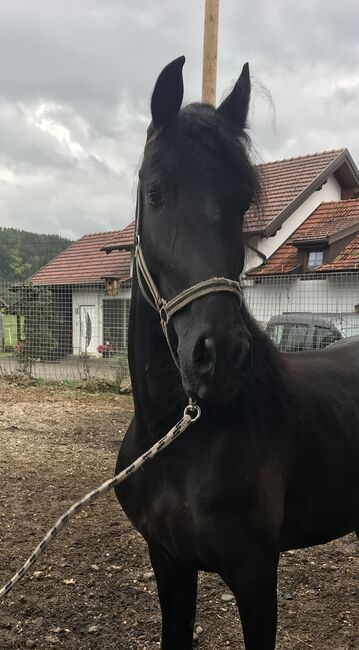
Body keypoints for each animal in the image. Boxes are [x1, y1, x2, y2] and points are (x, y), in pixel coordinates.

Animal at [116, 55, 359, 648]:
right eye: (154, 193)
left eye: (242, 202)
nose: (220, 355)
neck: (177, 437)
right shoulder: (168, 563)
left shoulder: (255, 575)